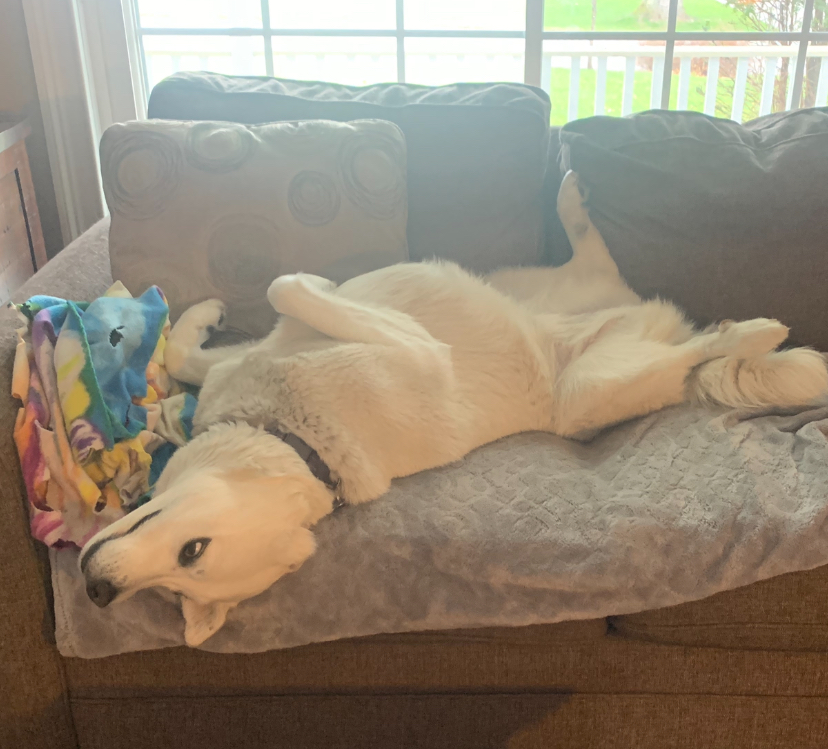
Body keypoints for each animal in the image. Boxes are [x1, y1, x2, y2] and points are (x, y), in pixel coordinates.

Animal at [79, 172, 828, 646]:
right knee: (667, 326)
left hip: (577, 356)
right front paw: (210, 317)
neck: (298, 434)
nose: (95, 593)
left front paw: (266, 295)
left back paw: (748, 329)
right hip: (585, 359)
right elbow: (209, 341)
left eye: (192, 551)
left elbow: (279, 290)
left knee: (688, 342)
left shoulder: (397, 343)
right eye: (176, 593)